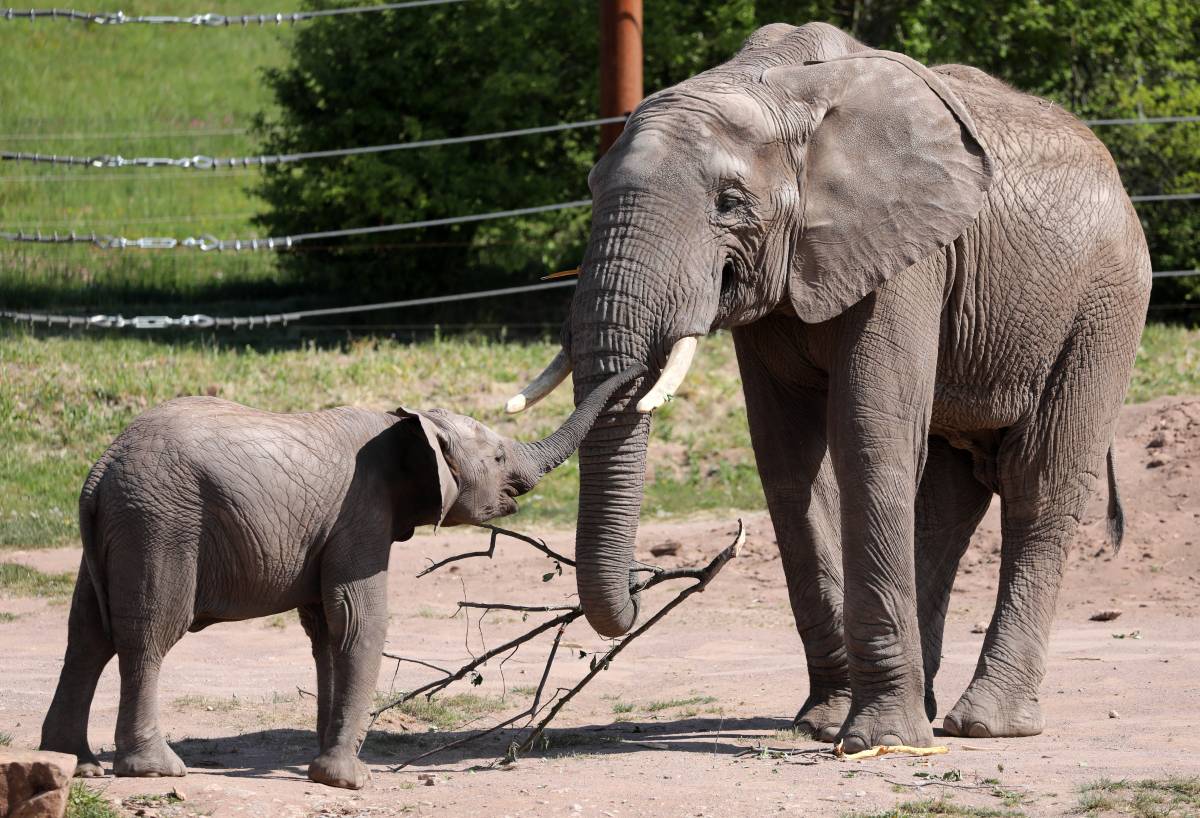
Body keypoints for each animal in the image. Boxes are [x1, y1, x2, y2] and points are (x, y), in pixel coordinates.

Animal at [37, 364, 643, 782]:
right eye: (496, 459)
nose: (638, 377)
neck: (405, 427)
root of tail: (99, 472)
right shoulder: (360, 511)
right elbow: (358, 617)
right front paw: (349, 781)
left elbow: (325, 630)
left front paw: (322, 764)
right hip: (160, 523)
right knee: (149, 634)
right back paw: (155, 770)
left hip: (126, 525)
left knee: (86, 635)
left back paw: (75, 763)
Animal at [501, 22, 1147, 748]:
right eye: (591, 190)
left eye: (729, 203)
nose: (644, 586)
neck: (778, 90)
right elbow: (786, 459)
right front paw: (826, 722)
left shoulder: (908, 254)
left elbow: (867, 436)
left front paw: (877, 741)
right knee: (947, 499)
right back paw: (928, 706)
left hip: (1105, 307)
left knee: (1040, 483)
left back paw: (982, 725)